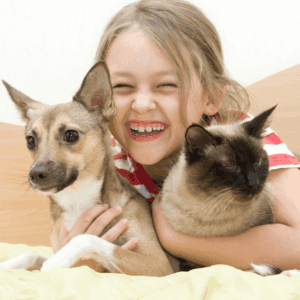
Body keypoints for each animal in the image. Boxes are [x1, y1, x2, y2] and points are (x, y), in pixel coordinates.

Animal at [0, 62, 173, 276]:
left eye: (71, 135)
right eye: (30, 140)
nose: (36, 174)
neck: (76, 198)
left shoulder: (159, 265)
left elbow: (87, 238)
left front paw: (56, 260)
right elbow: (30, 254)